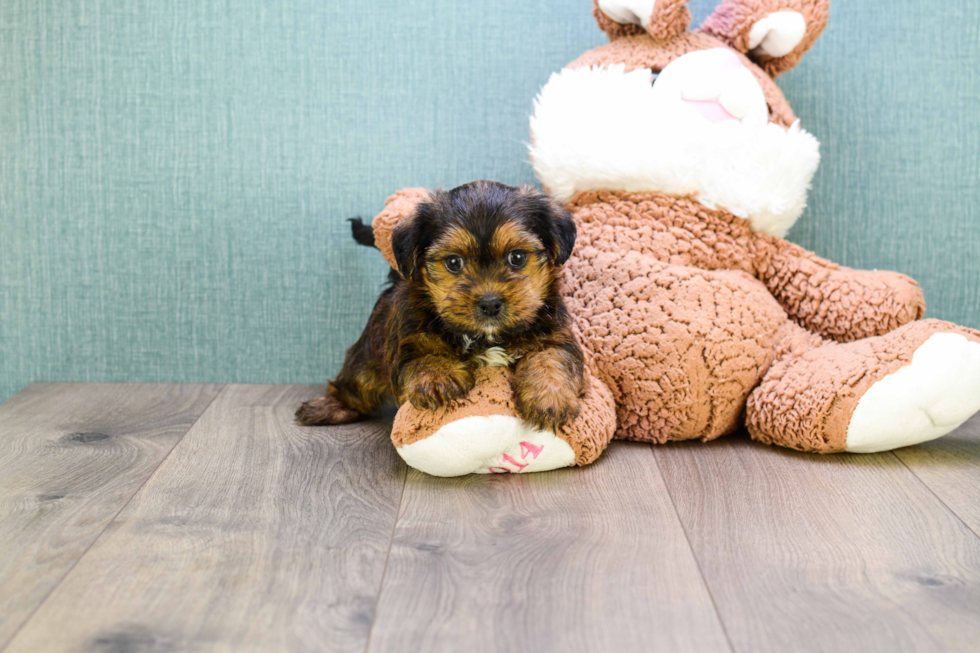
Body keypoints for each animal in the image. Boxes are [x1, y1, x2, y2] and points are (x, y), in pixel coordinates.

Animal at [294, 181, 584, 430]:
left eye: (517, 257)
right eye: (454, 262)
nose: (490, 303)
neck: (487, 338)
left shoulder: (555, 332)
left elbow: (551, 357)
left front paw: (550, 396)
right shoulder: (408, 336)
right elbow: (422, 355)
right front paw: (438, 377)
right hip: (369, 354)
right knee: (355, 381)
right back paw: (329, 407)